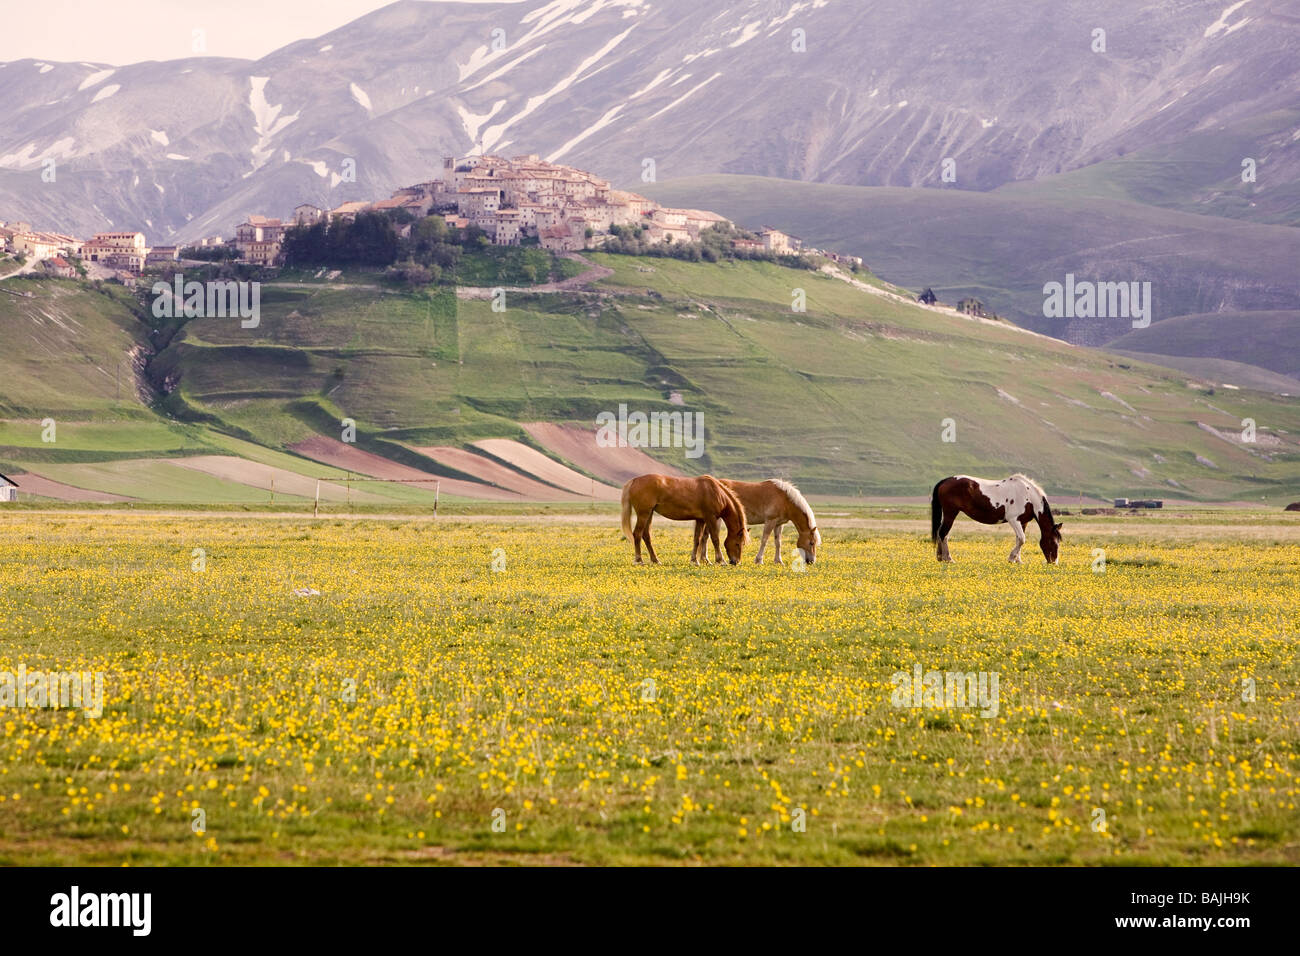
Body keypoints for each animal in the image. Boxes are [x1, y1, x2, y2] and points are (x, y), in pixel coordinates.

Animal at [621, 476, 754, 564]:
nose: (735, 562)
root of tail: (634, 480)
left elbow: (697, 539)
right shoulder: (710, 518)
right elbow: (715, 539)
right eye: (737, 543)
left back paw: (655, 560)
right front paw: (720, 560)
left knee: (646, 536)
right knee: (637, 534)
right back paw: (639, 560)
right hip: (643, 514)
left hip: (649, 514)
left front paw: (694, 561)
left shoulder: (701, 520)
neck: (716, 492)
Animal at [935, 476, 1066, 564]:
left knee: (940, 533)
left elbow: (1019, 540)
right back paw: (948, 559)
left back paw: (940, 557)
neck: (1028, 496)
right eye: (1053, 542)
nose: (1053, 563)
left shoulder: (1023, 522)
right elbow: (1022, 539)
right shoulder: (1013, 520)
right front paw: (1011, 559)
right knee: (943, 534)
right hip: (950, 513)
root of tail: (946, 480)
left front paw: (1018, 561)